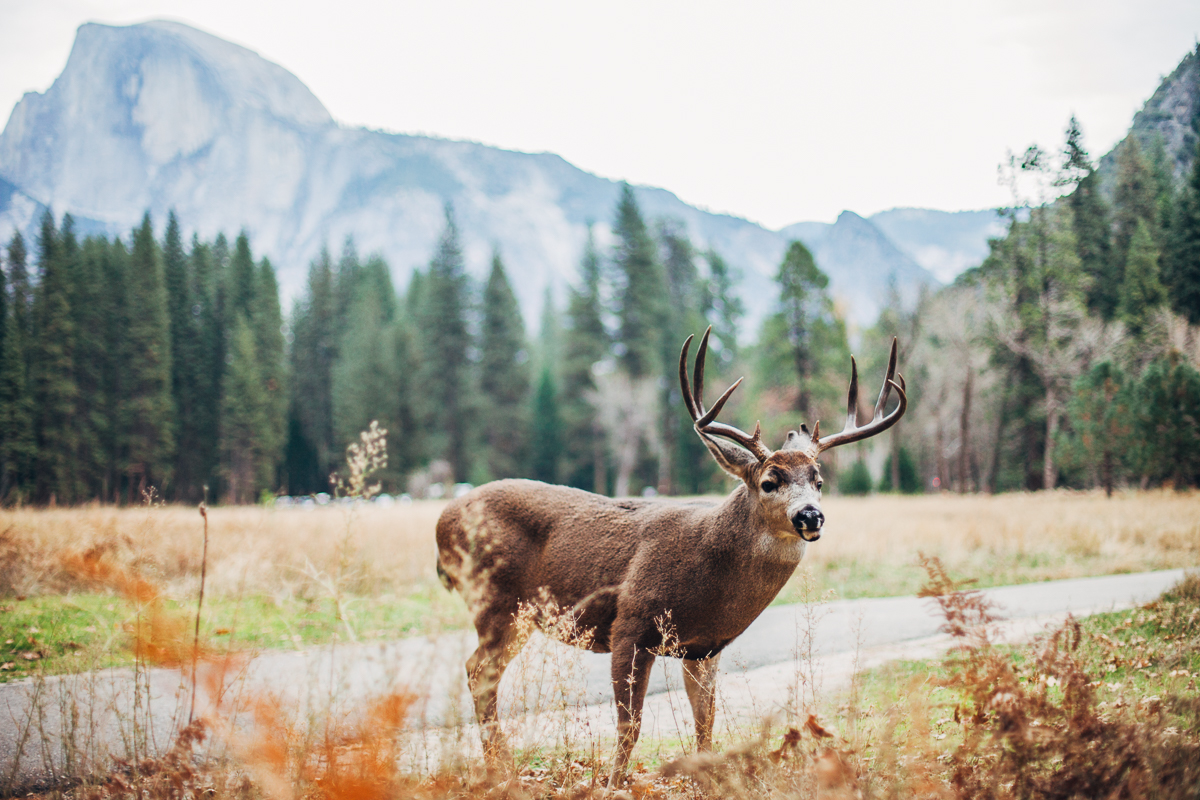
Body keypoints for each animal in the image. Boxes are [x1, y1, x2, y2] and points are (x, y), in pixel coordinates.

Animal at [436, 328, 902, 791]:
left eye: (818, 481)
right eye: (770, 481)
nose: (810, 515)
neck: (709, 575)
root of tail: (442, 520)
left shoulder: (704, 647)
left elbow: (705, 723)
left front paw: (708, 782)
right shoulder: (630, 625)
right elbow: (630, 724)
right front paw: (613, 784)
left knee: (482, 673)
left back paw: (500, 767)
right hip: (497, 603)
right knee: (478, 671)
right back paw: (501, 770)